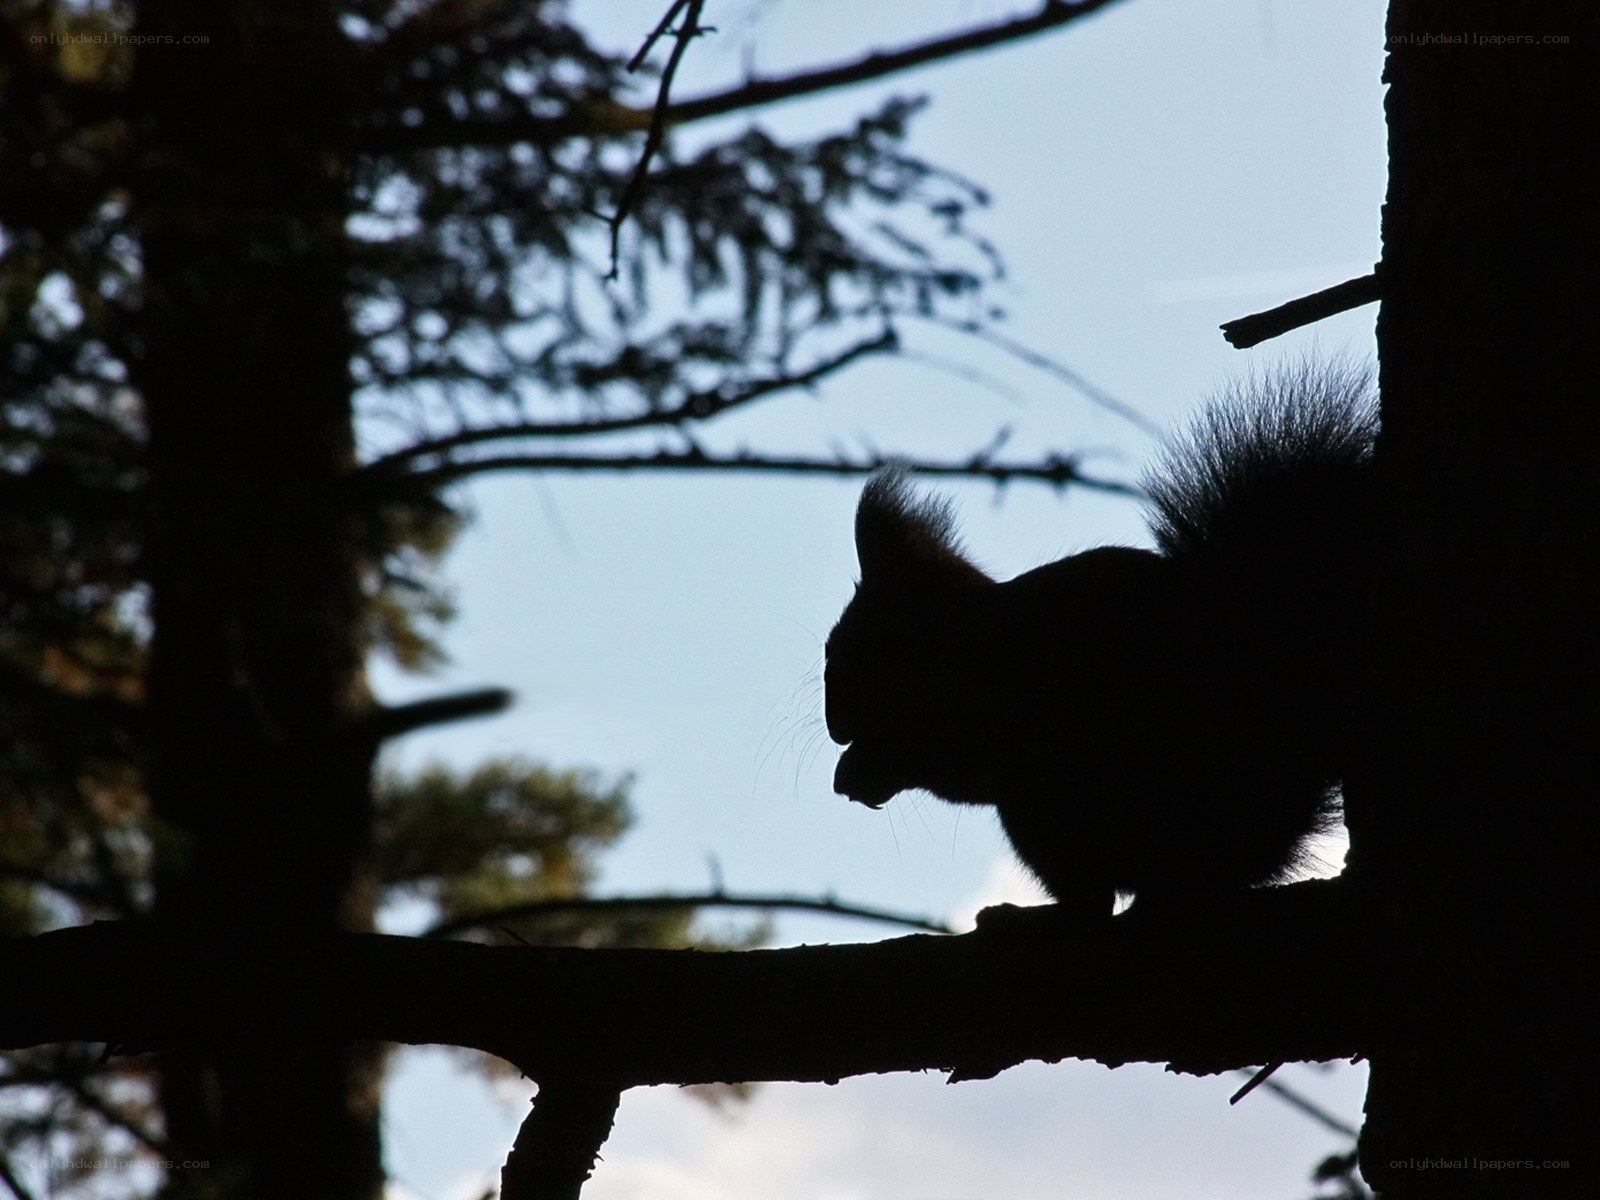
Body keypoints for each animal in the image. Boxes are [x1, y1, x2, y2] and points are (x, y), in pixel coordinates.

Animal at [823, 358, 1376, 919]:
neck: (961, 635)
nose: (834, 725)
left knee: (1094, 900)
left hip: (1054, 804)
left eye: (852, 648)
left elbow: (949, 763)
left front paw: (863, 767)